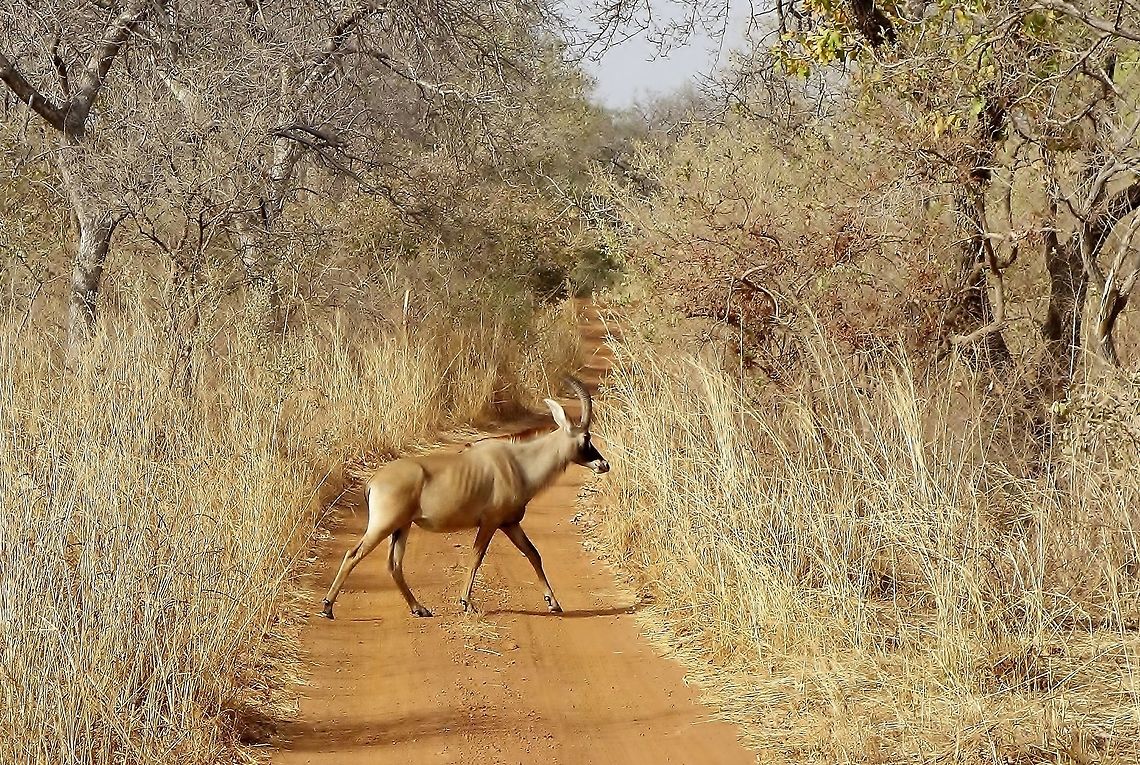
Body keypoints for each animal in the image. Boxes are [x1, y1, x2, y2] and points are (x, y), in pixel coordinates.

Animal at [320, 377, 609, 620]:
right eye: (586, 437)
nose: (603, 465)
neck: (518, 463)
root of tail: (373, 482)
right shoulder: (491, 522)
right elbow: (476, 557)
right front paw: (466, 602)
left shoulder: (510, 524)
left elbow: (533, 554)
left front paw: (554, 603)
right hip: (383, 526)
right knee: (354, 554)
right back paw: (328, 607)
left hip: (402, 527)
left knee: (394, 565)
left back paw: (419, 608)